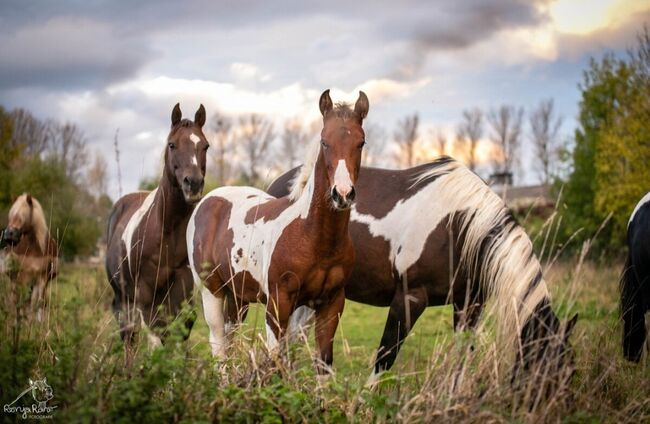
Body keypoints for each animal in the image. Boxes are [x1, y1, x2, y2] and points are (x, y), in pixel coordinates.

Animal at [105, 103, 208, 348]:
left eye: (205, 146)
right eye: (172, 144)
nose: (194, 184)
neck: (165, 232)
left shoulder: (183, 292)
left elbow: (178, 334)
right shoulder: (144, 295)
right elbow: (155, 337)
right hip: (124, 298)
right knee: (129, 336)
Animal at [187, 88, 368, 372]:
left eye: (361, 142)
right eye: (324, 142)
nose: (342, 194)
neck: (312, 236)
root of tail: (208, 199)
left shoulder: (331, 304)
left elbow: (323, 365)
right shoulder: (278, 303)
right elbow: (275, 362)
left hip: (238, 296)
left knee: (230, 336)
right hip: (211, 291)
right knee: (219, 346)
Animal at [268, 156, 576, 384]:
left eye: (569, 372)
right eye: (549, 373)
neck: (459, 226)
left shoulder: (469, 303)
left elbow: (462, 355)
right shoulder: (410, 298)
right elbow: (385, 356)